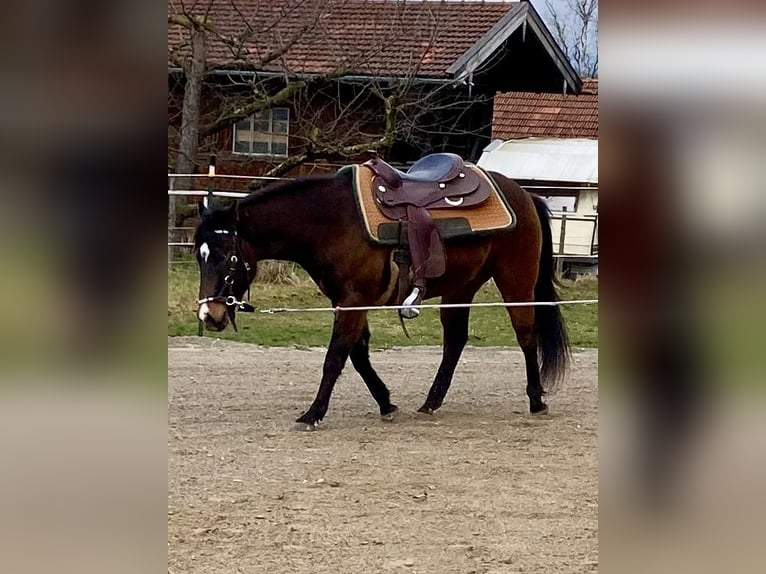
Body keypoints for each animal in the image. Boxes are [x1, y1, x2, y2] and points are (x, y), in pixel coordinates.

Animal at [193, 169, 570, 428]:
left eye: (226, 256)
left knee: (526, 336)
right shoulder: (346, 302)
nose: (209, 315)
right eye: (200, 255)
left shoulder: (353, 300)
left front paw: (313, 413)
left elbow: (336, 356)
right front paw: (386, 403)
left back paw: (536, 400)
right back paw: (432, 401)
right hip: (460, 287)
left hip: (516, 282)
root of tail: (523, 194)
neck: (333, 221)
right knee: (455, 341)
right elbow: (358, 355)